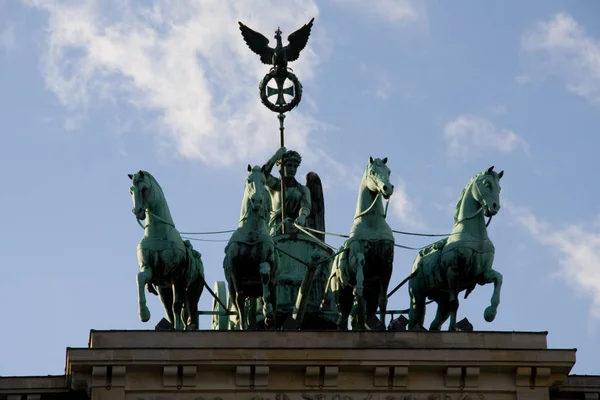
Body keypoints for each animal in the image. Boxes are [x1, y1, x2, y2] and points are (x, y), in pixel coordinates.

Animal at [129, 170, 206, 330]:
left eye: (144, 189)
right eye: (131, 191)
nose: (137, 211)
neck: (158, 232)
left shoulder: (177, 275)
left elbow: (176, 305)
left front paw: (178, 328)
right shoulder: (149, 270)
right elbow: (140, 278)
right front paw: (144, 314)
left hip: (193, 290)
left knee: (189, 309)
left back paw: (188, 325)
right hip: (164, 290)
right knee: (169, 309)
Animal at [223, 164, 276, 330]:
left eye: (264, 182)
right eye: (249, 180)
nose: (257, 201)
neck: (252, 231)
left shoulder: (265, 259)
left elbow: (265, 274)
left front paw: (268, 312)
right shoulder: (234, 267)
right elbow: (239, 297)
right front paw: (243, 324)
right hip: (232, 287)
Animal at [326, 157, 396, 332]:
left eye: (388, 171)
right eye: (372, 171)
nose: (387, 188)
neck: (372, 224)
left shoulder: (387, 266)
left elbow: (383, 300)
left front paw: (382, 326)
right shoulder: (357, 259)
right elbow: (358, 267)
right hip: (340, 292)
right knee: (343, 317)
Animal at [408, 166, 502, 332]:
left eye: (500, 188)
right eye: (487, 184)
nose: (495, 207)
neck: (473, 235)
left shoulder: (481, 273)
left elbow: (499, 278)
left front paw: (490, 313)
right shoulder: (453, 271)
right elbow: (455, 303)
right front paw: (453, 328)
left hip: (441, 299)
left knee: (434, 324)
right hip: (417, 293)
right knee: (417, 316)